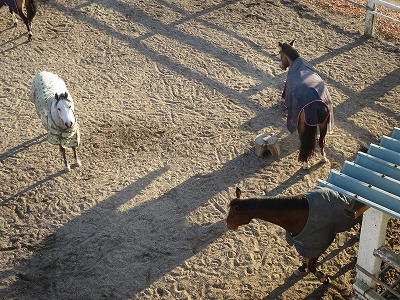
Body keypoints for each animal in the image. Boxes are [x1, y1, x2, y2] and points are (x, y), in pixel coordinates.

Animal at [227, 186, 360, 284]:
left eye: (233, 213)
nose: (228, 225)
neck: (303, 212)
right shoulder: (306, 243)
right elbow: (306, 259)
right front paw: (301, 268)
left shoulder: (318, 243)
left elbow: (312, 266)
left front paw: (324, 279)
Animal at [276, 41, 332, 170]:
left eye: (280, 53)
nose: (281, 66)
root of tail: (314, 104)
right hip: (323, 125)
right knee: (321, 141)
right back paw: (323, 158)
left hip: (302, 126)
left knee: (304, 142)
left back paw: (306, 163)